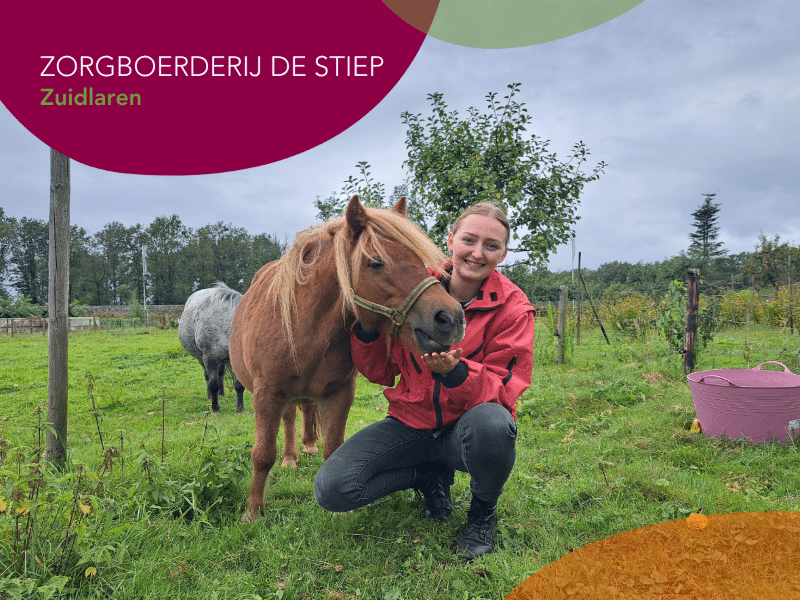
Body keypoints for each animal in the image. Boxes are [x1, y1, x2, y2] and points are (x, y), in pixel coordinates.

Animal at [180, 282, 245, 412]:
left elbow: (239, 385)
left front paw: (240, 409)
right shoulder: (209, 358)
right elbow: (213, 384)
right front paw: (215, 408)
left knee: (220, 374)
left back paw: (222, 394)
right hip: (202, 359)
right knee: (208, 377)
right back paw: (210, 397)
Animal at [228, 193, 466, 520]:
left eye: (419, 260)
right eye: (375, 263)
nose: (450, 318)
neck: (303, 329)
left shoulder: (340, 393)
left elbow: (333, 450)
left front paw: (337, 512)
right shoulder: (267, 395)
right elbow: (263, 454)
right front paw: (253, 511)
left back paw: (307, 447)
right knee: (289, 419)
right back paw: (290, 457)